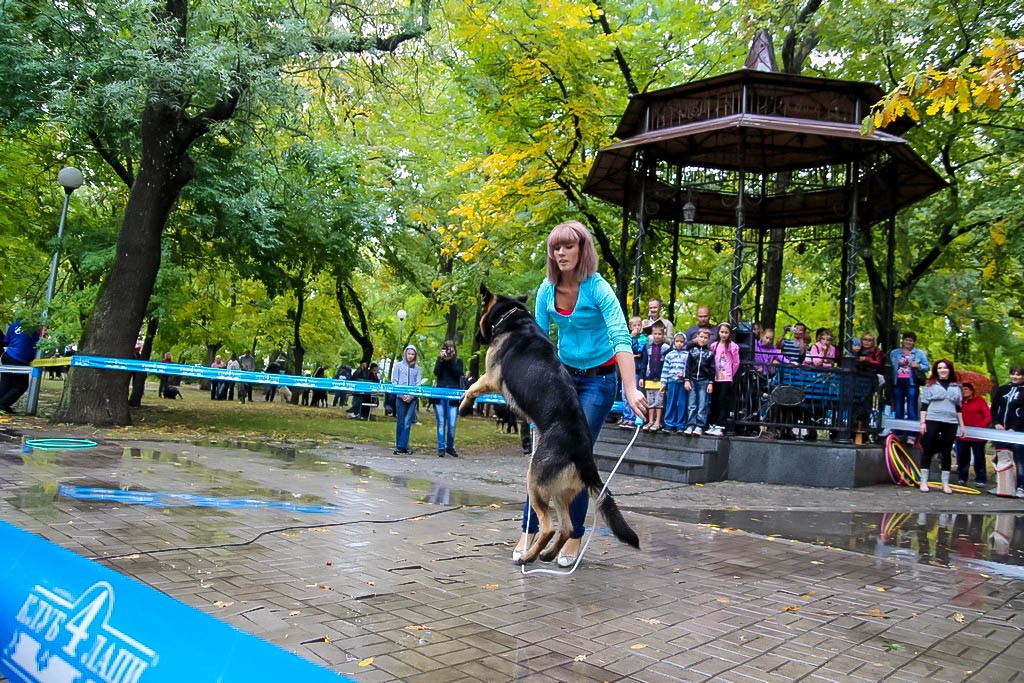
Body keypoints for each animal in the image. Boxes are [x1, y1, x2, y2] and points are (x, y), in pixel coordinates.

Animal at [458, 284, 634, 565]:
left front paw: (463, 406)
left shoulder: (491, 377)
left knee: (549, 526)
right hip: (559, 492)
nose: (476, 336)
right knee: (567, 527)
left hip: (535, 483)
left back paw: (527, 557)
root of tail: (583, 453)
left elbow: (472, 387)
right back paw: (548, 554)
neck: (513, 318)